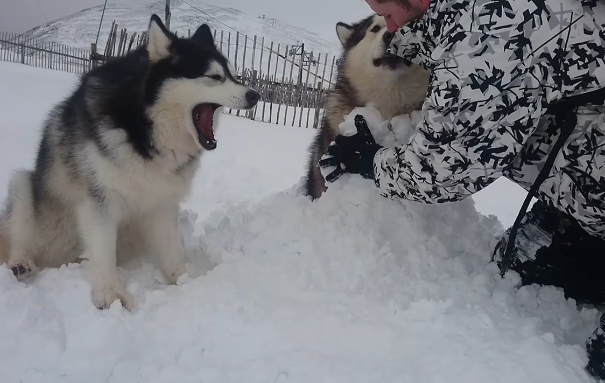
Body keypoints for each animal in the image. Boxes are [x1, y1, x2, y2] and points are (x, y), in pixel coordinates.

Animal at [0, 13, 258, 310]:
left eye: (234, 75)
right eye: (214, 76)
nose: (255, 95)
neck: (143, 125)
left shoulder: (163, 201)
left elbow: (172, 250)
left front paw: (184, 283)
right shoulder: (99, 199)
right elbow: (103, 251)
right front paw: (110, 295)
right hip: (23, 186)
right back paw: (21, 262)